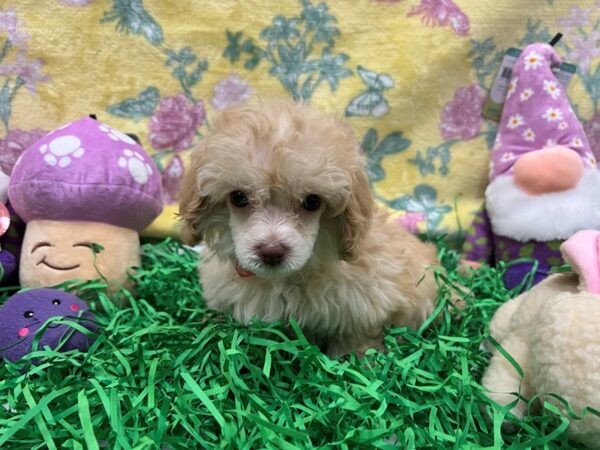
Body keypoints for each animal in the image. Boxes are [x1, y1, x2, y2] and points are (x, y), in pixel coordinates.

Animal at [180, 98, 438, 356]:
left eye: (312, 201)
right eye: (239, 197)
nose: (271, 252)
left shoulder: (365, 306)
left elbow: (357, 341)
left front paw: (355, 359)